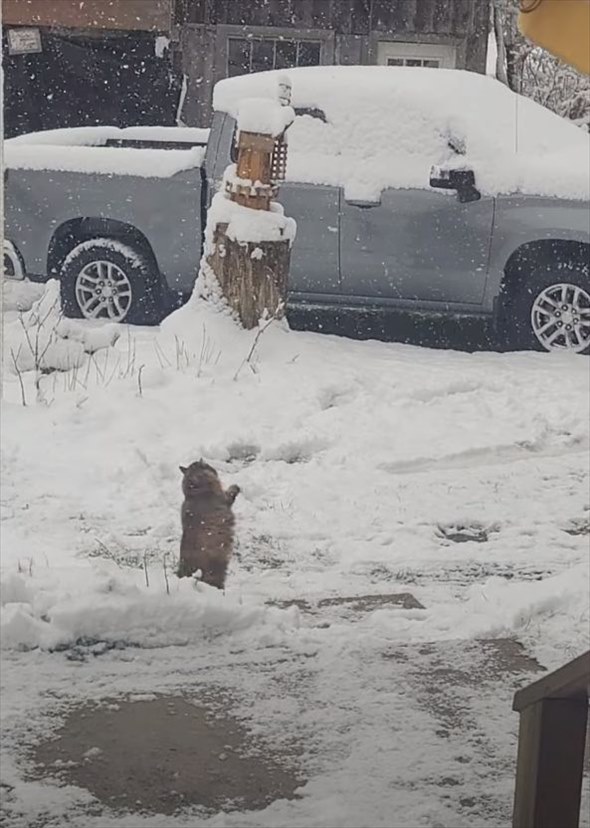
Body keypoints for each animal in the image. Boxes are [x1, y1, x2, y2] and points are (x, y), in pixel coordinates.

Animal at [178, 460, 240, 588]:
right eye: (206, 466)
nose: (213, 469)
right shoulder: (225, 499)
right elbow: (231, 492)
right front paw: (235, 487)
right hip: (217, 568)